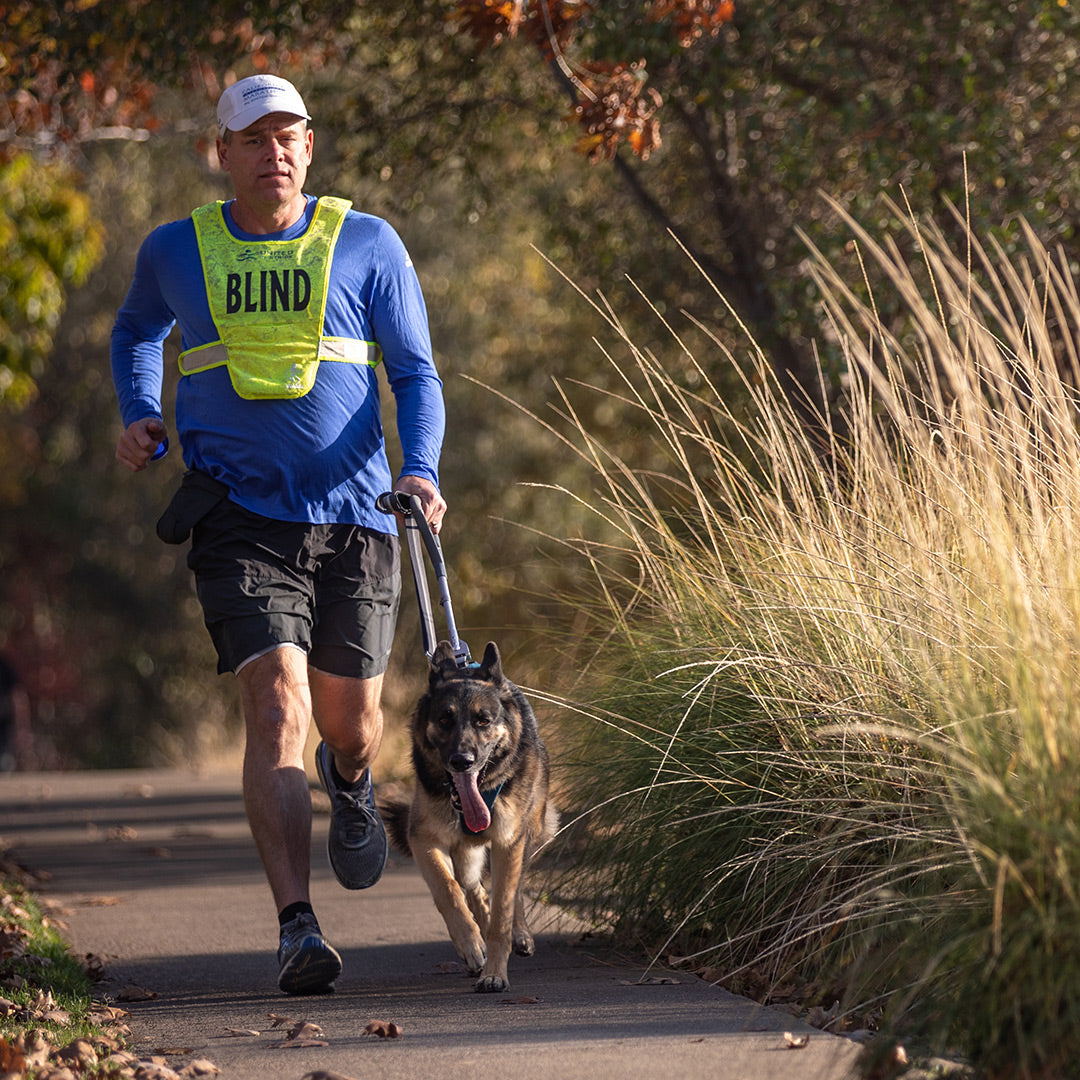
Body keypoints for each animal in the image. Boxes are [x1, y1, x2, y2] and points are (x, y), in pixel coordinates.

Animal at [382, 635, 557, 989]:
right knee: (472, 886)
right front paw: (472, 943)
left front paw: (495, 972)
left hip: (528, 836)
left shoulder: (508, 842)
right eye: (444, 719)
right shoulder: (424, 840)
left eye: (483, 721)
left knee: (514, 889)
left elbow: (504, 906)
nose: (462, 761)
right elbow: (447, 890)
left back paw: (519, 934)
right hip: (464, 852)